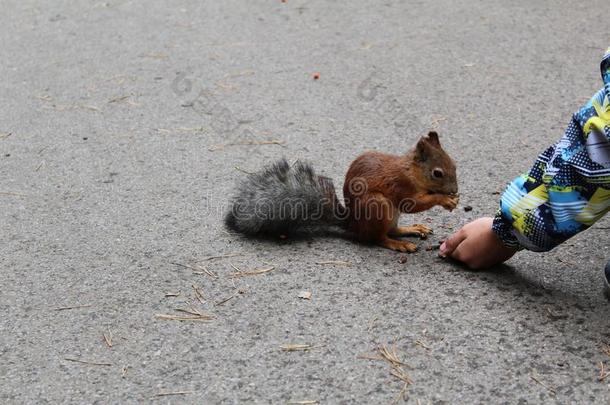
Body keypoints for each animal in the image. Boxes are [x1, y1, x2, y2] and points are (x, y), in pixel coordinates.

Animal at [223, 131, 456, 251]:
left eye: (454, 164)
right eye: (437, 173)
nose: (454, 190)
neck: (412, 170)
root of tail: (353, 224)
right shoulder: (400, 184)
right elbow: (413, 203)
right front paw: (444, 200)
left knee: (393, 230)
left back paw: (412, 229)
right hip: (377, 206)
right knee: (378, 238)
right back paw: (398, 245)